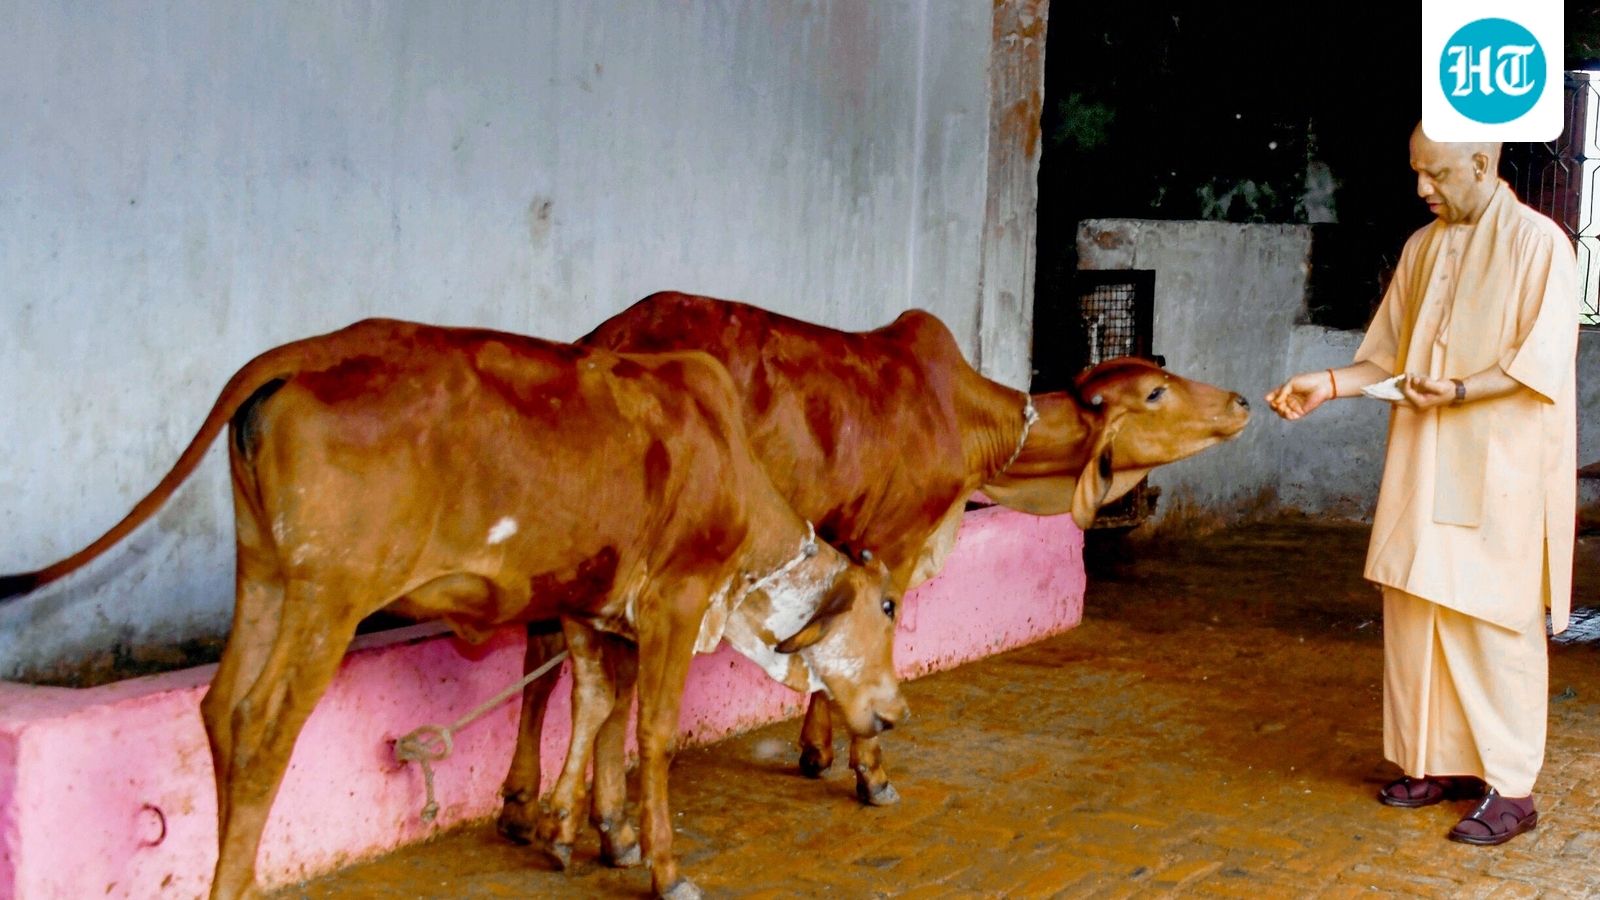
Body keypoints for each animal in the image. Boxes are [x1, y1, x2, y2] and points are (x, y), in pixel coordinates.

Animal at [0, 318, 908, 900]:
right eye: (891, 607)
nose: (896, 713)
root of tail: (309, 350)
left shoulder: (590, 602)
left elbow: (593, 703)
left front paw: (575, 831)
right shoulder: (675, 604)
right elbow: (648, 729)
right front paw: (663, 865)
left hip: (262, 575)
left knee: (221, 709)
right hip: (328, 596)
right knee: (261, 727)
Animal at [494, 292, 1251, 842]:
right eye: (1155, 392)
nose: (1243, 400)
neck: (974, 425)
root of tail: (603, 341)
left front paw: (815, 750)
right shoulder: (892, 545)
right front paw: (870, 771)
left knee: (550, 654)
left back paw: (526, 804)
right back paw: (597, 818)